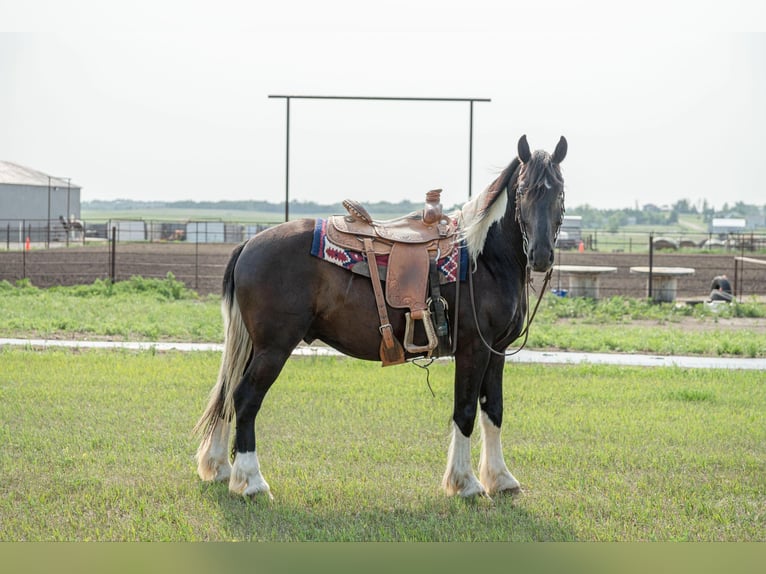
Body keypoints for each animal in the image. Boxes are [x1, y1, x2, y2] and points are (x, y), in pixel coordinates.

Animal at [195, 134, 568, 500]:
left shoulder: (497, 350)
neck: (484, 258)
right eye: (523, 191)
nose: (540, 255)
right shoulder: (473, 349)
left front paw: (501, 478)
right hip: (274, 348)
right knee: (245, 398)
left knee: (228, 394)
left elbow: (494, 410)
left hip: (255, 347)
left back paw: (221, 468)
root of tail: (249, 245)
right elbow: (464, 411)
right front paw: (466, 483)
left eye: (560, 192)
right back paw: (252, 481)